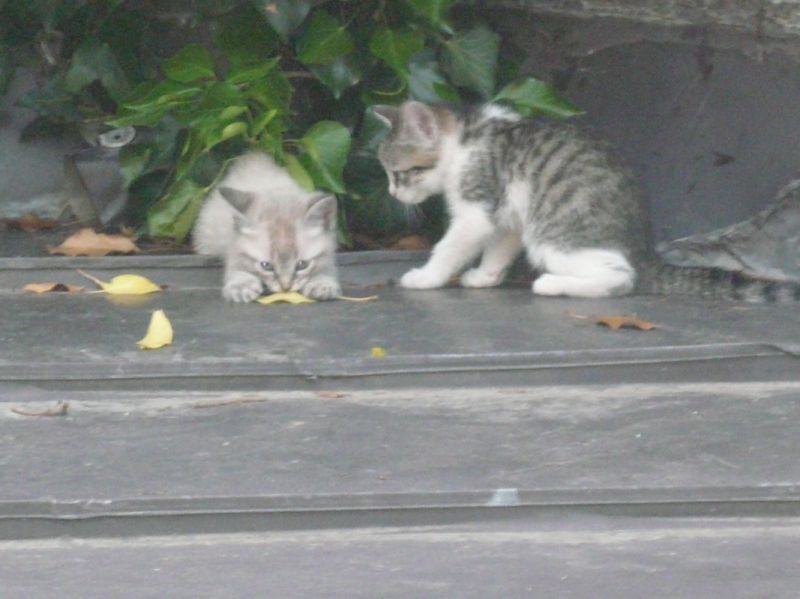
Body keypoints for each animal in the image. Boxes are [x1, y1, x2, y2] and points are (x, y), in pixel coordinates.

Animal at [197, 152, 344, 302]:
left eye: (302, 264)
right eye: (266, 266)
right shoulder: (233, 248)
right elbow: (237, 268)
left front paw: (322, 283)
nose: (286, 288)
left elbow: (326, 268)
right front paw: (241, 285)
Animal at [374, 101, 800, 304]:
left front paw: (425, 276)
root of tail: (642, 247)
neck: (465, 141)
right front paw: (485, 276)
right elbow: (500, 245)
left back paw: (553, 284)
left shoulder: (477, 205)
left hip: (554, 239)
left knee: (621, 277)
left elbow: (450, 247)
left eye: (399, 173)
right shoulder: (511, 211)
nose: (392, 194)